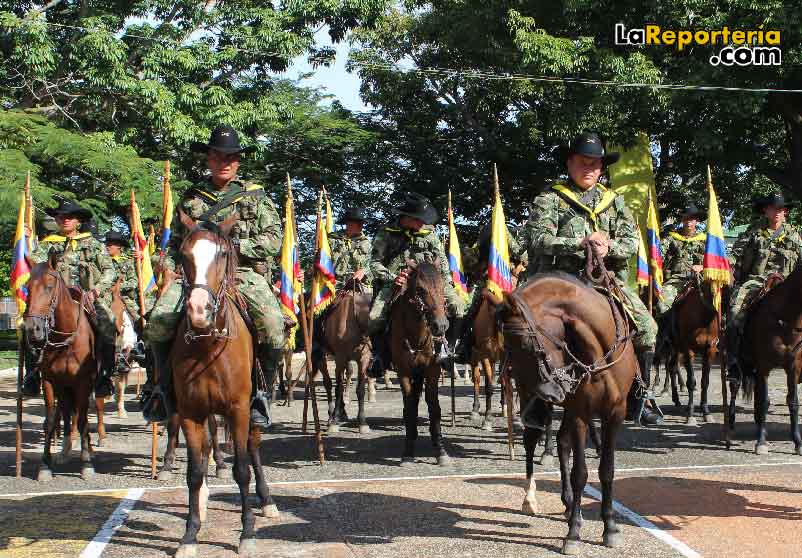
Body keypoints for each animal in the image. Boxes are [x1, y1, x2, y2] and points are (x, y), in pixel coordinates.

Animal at [24, 253, 101, 482]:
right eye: (27, 288)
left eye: (49, 286)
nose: (33, 330)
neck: (66, 340)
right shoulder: (50, 381)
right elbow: (50, 421)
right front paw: (44, 466)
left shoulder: (83, 382)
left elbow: (83, 420)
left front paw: (87, 464)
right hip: (64, 386)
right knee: (66, 411)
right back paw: (65, 450)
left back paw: (87, 450)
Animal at [170, 214, 276, 558]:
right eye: (183, 254)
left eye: (224, 254)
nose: (198, 310)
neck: (208, 345)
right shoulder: (190, 412)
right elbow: (193, 473)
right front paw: (190, 535)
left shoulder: (238, 409)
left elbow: (241, 469)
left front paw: (247, 533)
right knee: (205, 452)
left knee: (253, 448)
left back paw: (267, 501)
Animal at [390, 262, 450, 468]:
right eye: (420, 290)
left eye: (442, 287)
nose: (440, 325)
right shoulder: (403, 371)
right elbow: (409, 408)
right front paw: (408, 452)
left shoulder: (432, 370)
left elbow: (434, 407)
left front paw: (440, 451)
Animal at [496, 272, 636, 556]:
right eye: (508, 346)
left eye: (526, 342)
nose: (549, 392)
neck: (600, 354)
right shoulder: (580, 411)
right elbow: (580, 473)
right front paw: (573, 533)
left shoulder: (615, 413)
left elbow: (607, 470)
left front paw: (610, 527)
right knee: (532, 441)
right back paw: (531, 499)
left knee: (561, 442)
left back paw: (570, 503)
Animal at [736, 266, 800, 456]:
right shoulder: (764, 366)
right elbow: (764, 402)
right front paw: (761, 442)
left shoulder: (793, 367)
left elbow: (793, 402)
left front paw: (797, 442)